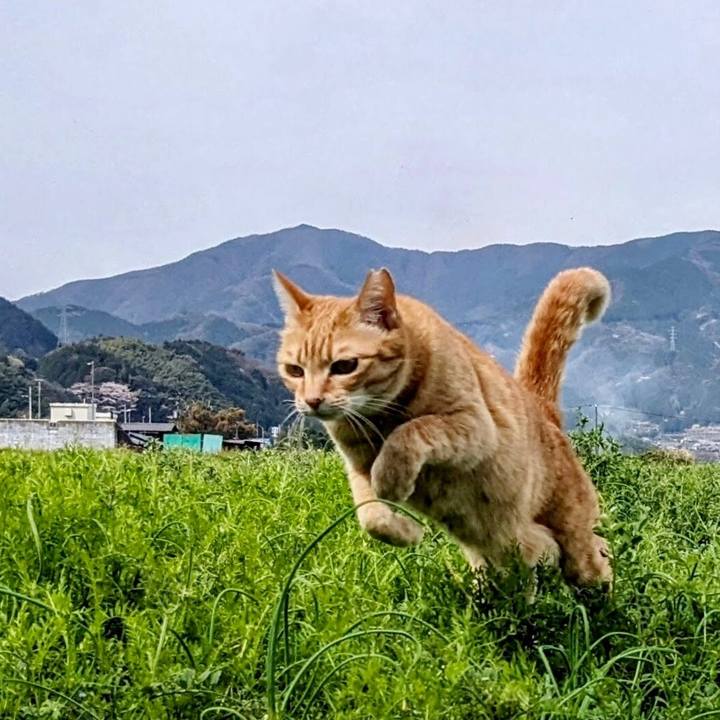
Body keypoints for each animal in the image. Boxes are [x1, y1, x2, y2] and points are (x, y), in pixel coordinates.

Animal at [273, 266, 612, 586]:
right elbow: (371, 516)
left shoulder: (474, 425)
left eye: (344, 366)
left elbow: (412, 431)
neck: (380, 418)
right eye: (294, 370)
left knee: (597, 560)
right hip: (491, 557)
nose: (312, 400)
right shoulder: (357, 467)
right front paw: (407, 531)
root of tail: (541, 406)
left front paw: (392, 480)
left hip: (579, 549)